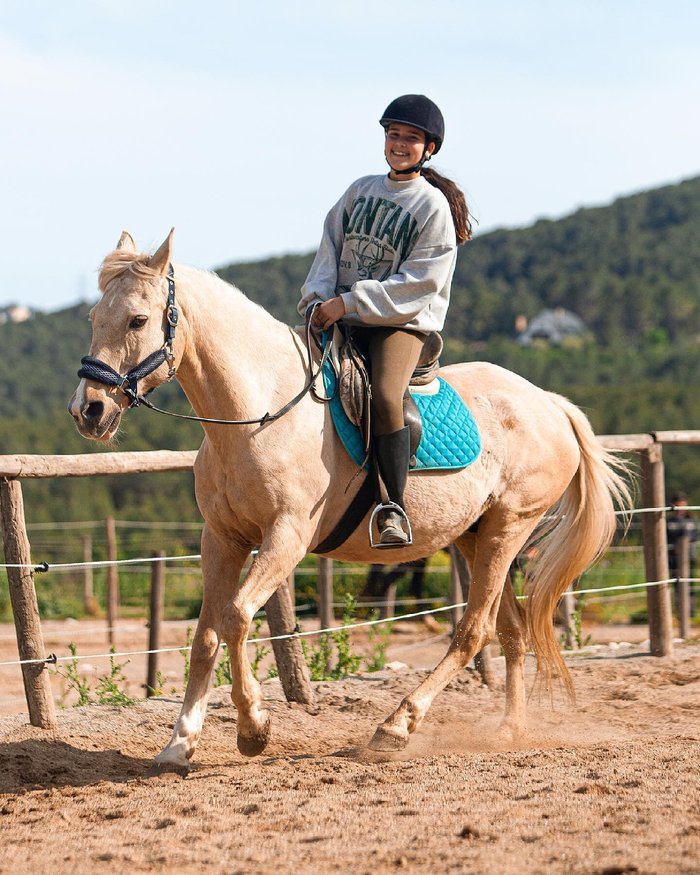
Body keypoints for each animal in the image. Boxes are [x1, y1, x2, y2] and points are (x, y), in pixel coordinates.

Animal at [68, 231, 632, 768]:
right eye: (94, 318)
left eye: (138, 320)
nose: (88, 410)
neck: (258, 415)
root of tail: (551, 404)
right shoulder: (222, 539)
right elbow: (206, 635)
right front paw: (180, 743)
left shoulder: (286, 539)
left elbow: (235, 617)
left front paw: (254, 729)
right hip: (476, 537)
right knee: (510, 632)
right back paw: (508, 732)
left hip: (506, 530)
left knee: (473, 632)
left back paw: (395, 727)